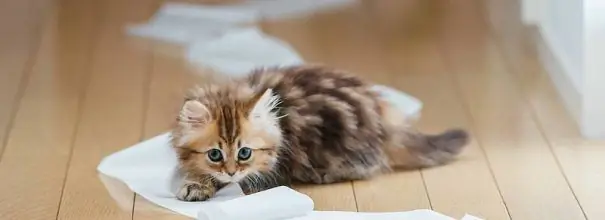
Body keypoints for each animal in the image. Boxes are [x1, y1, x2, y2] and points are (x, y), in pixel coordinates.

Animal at [169, 65, 468, 201]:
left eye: (244, 153)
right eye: (215, 155)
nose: (231, 171)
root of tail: (385, 119)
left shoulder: (272, 171)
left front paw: (201, 185)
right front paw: (196, 181)